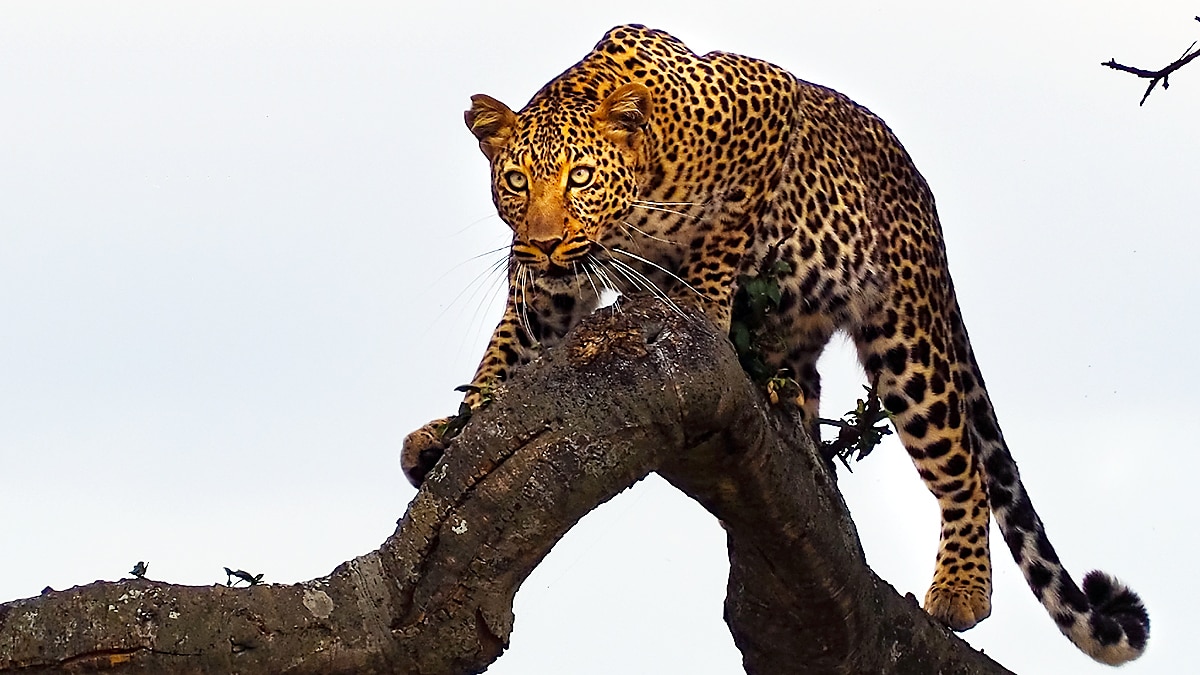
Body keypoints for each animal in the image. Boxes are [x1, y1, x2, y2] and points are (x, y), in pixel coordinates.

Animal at [401, 24, 1149, 665]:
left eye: (580, 177)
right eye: (516, 182)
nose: (547, 241)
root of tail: (922, 193)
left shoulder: (768, 104)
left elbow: (724, 227)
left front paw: (699, 298)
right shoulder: (544, 293)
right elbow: (505, 356)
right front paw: (450, 430)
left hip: (906, 335)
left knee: (962, 458)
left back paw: (960, 591)